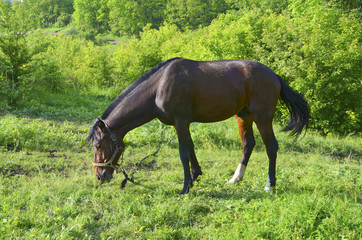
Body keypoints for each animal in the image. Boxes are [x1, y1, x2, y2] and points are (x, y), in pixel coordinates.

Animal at [87, 57, 308, 195]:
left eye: (98, 145)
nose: (99, 176)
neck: (160, 86)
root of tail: (274, 75)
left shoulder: (181, 121)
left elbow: (183, 152)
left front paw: (185, 187)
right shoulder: (180, 124)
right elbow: (191, 148)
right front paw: (195, 177)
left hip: (262, 117)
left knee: (271, 147)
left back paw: (269, 185)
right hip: (243, 116)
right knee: (248, 144)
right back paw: (235, 179)